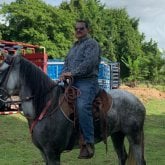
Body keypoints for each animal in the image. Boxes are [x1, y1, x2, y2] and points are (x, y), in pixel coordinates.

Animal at [0, 53, 146, 164]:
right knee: (122, 157)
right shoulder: (44, 153)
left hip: (134, 137)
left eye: (2, 71)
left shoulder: (52, 153)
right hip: (117, 135)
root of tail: (138, 101)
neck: (46, 107)